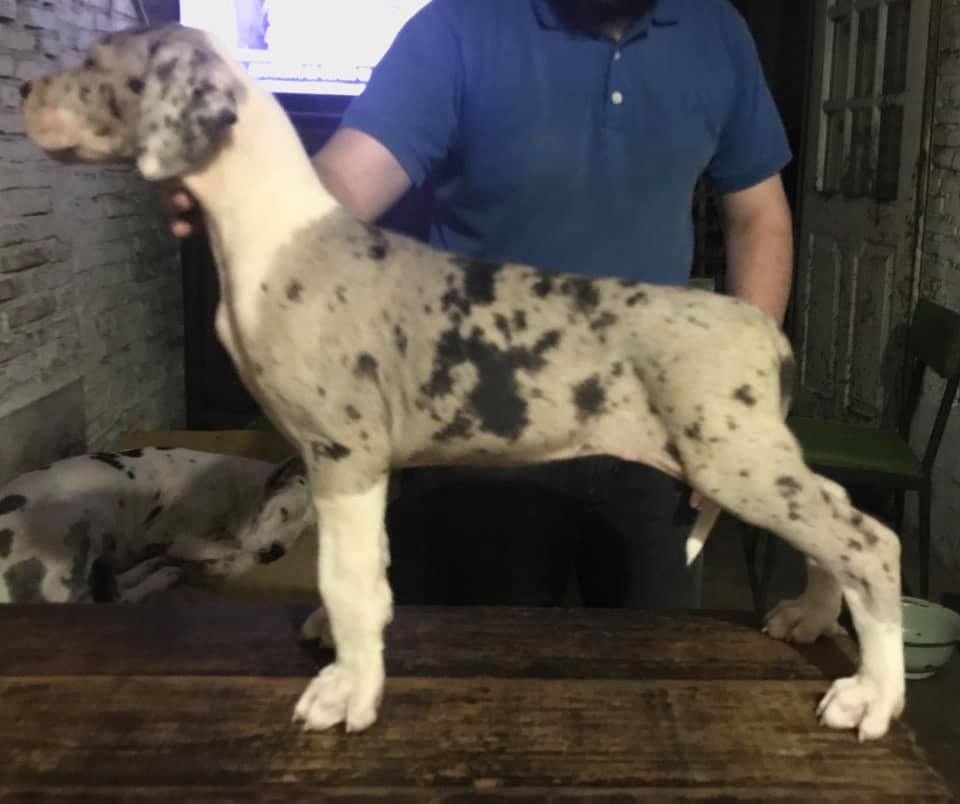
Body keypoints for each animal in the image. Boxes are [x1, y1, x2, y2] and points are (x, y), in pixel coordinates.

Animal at [0, 447, 313, 603]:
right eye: (284, 512)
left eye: (305, 531)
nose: (276, 553)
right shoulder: (178, 535)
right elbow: (236, 551)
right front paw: (222, 564)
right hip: (84, 518)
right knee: (106, 601)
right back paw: (161, 576)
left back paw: (153, 568)